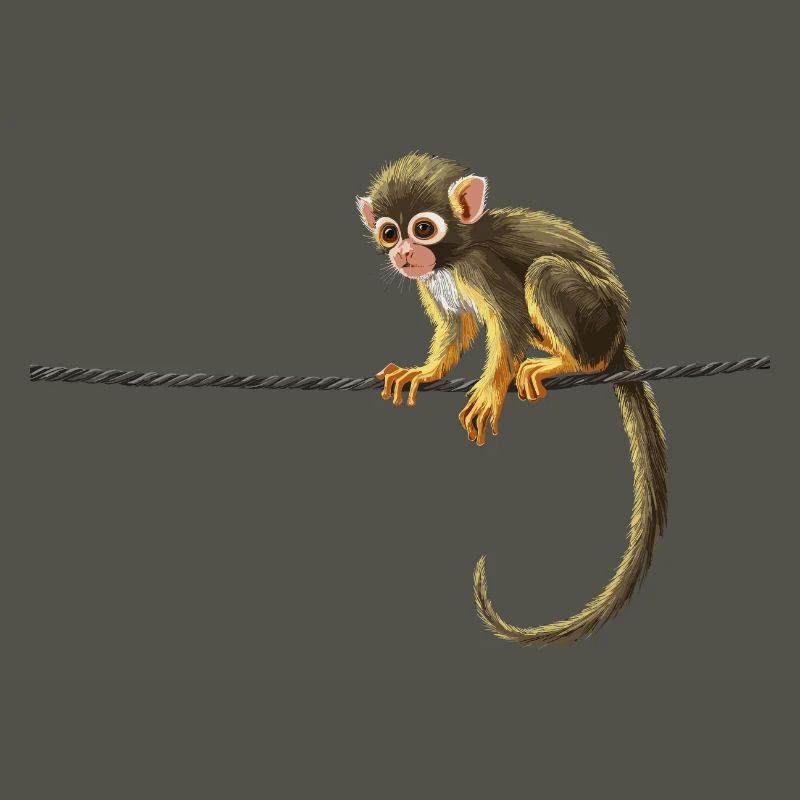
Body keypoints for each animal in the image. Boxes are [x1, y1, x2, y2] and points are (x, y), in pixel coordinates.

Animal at [356, 152, 667, 645]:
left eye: (422, 229)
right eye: (390, 232)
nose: (404, 254)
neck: (453, 255)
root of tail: (617, 336)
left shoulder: (479, 265)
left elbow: (509, 319)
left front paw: (489, 390)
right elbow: (455, 326)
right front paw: (423, 372)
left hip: (594, 316)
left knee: (543, 273)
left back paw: (576, 363)